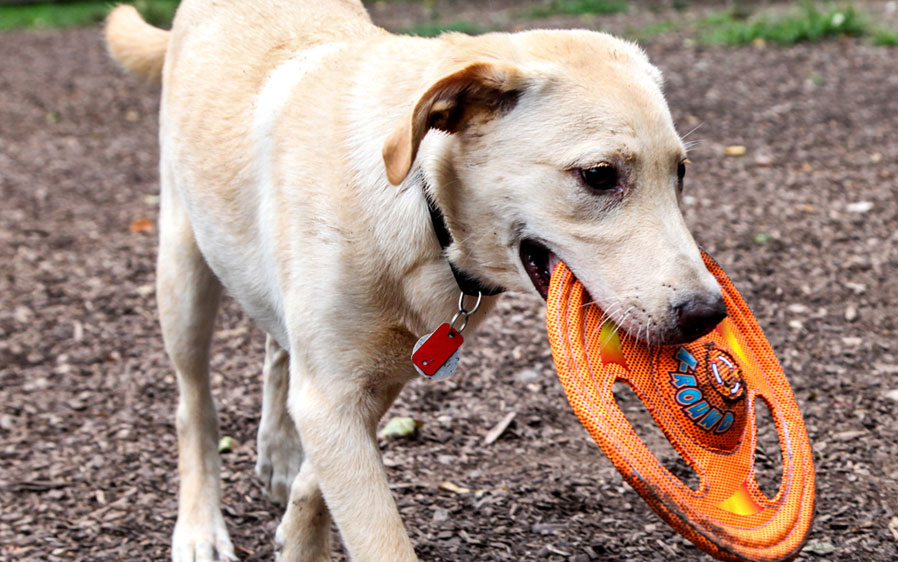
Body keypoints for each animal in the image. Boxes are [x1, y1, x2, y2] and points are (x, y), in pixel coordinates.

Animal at [107, 1, 720, 560]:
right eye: (598, 175)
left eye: (681, 173)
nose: (708, 314)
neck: (422, 206)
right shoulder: (334, 393)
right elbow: (376, 533)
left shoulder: (379, 375)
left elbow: (317, 479)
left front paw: (298, 530)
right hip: (182, 273)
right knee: (194, 407)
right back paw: (199, 528)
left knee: (276, 348)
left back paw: (278, 451)